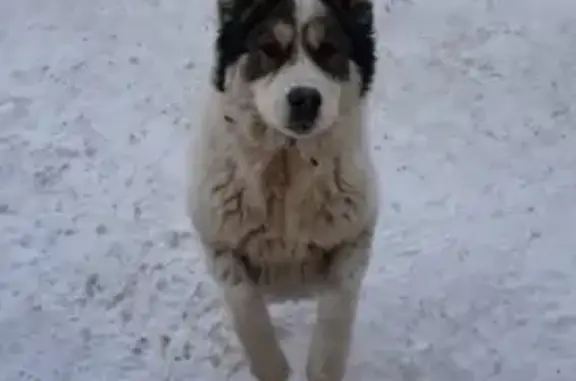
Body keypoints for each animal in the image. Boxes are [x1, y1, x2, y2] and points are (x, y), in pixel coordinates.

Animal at [187, 1, 380, 378]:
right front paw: (272, 366)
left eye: (329, 50)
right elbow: (245, 303)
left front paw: (322, 365)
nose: (305, 98)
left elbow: (338, 304)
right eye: (269, 49)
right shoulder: (217, 240)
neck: (287, 168)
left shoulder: (357, 233)